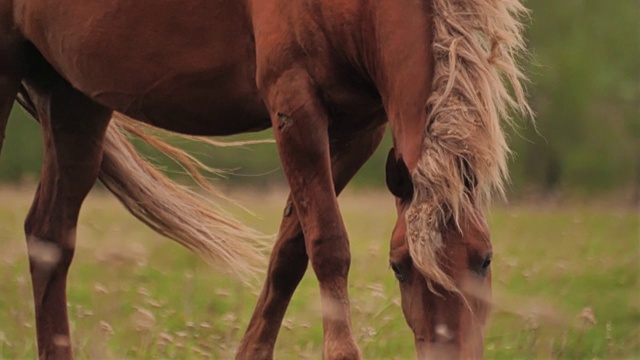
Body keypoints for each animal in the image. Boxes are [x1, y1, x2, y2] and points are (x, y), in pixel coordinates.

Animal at [0, 0, 528, 358]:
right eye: (399, 266)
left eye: (484, 259)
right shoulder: (295, 106)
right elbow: (328, 245)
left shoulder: (359, 127)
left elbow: (290, 252)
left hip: (73, 98)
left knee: (50, 236)